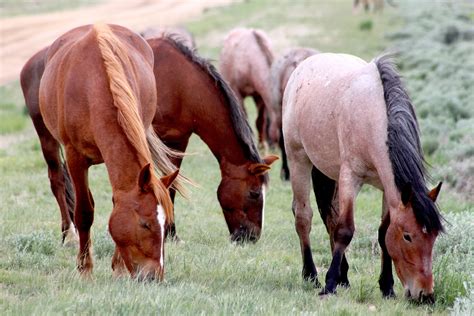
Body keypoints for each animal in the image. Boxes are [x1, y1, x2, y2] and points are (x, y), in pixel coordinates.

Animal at [22, 24, 185, 278]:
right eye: (145, 224)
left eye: (165, 223)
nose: (153, 276)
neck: (94, 85)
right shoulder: (75, 158)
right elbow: (84, 213)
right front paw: (84, 269)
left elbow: (115, 202)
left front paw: (118, 267)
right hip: (46, 136)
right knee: (57, 179)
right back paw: (69, 236)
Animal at [149, 37, 278, 242]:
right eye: (255, 193)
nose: (252, 238)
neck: (181, 86)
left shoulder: (177, 142)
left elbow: (172, 186)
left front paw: (171, 234)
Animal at [286, 52, 444, 304]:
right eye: (408, 236)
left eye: (435, 237)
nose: (425, 295)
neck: (373, 118)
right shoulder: (350, 177)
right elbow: (345, 230)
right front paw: (328, 285)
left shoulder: (387, 188)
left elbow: (383, 233)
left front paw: (387, 287)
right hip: (298, 159)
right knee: (304, 217)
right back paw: (311, 275)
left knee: (330, 218)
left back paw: (343, 276)